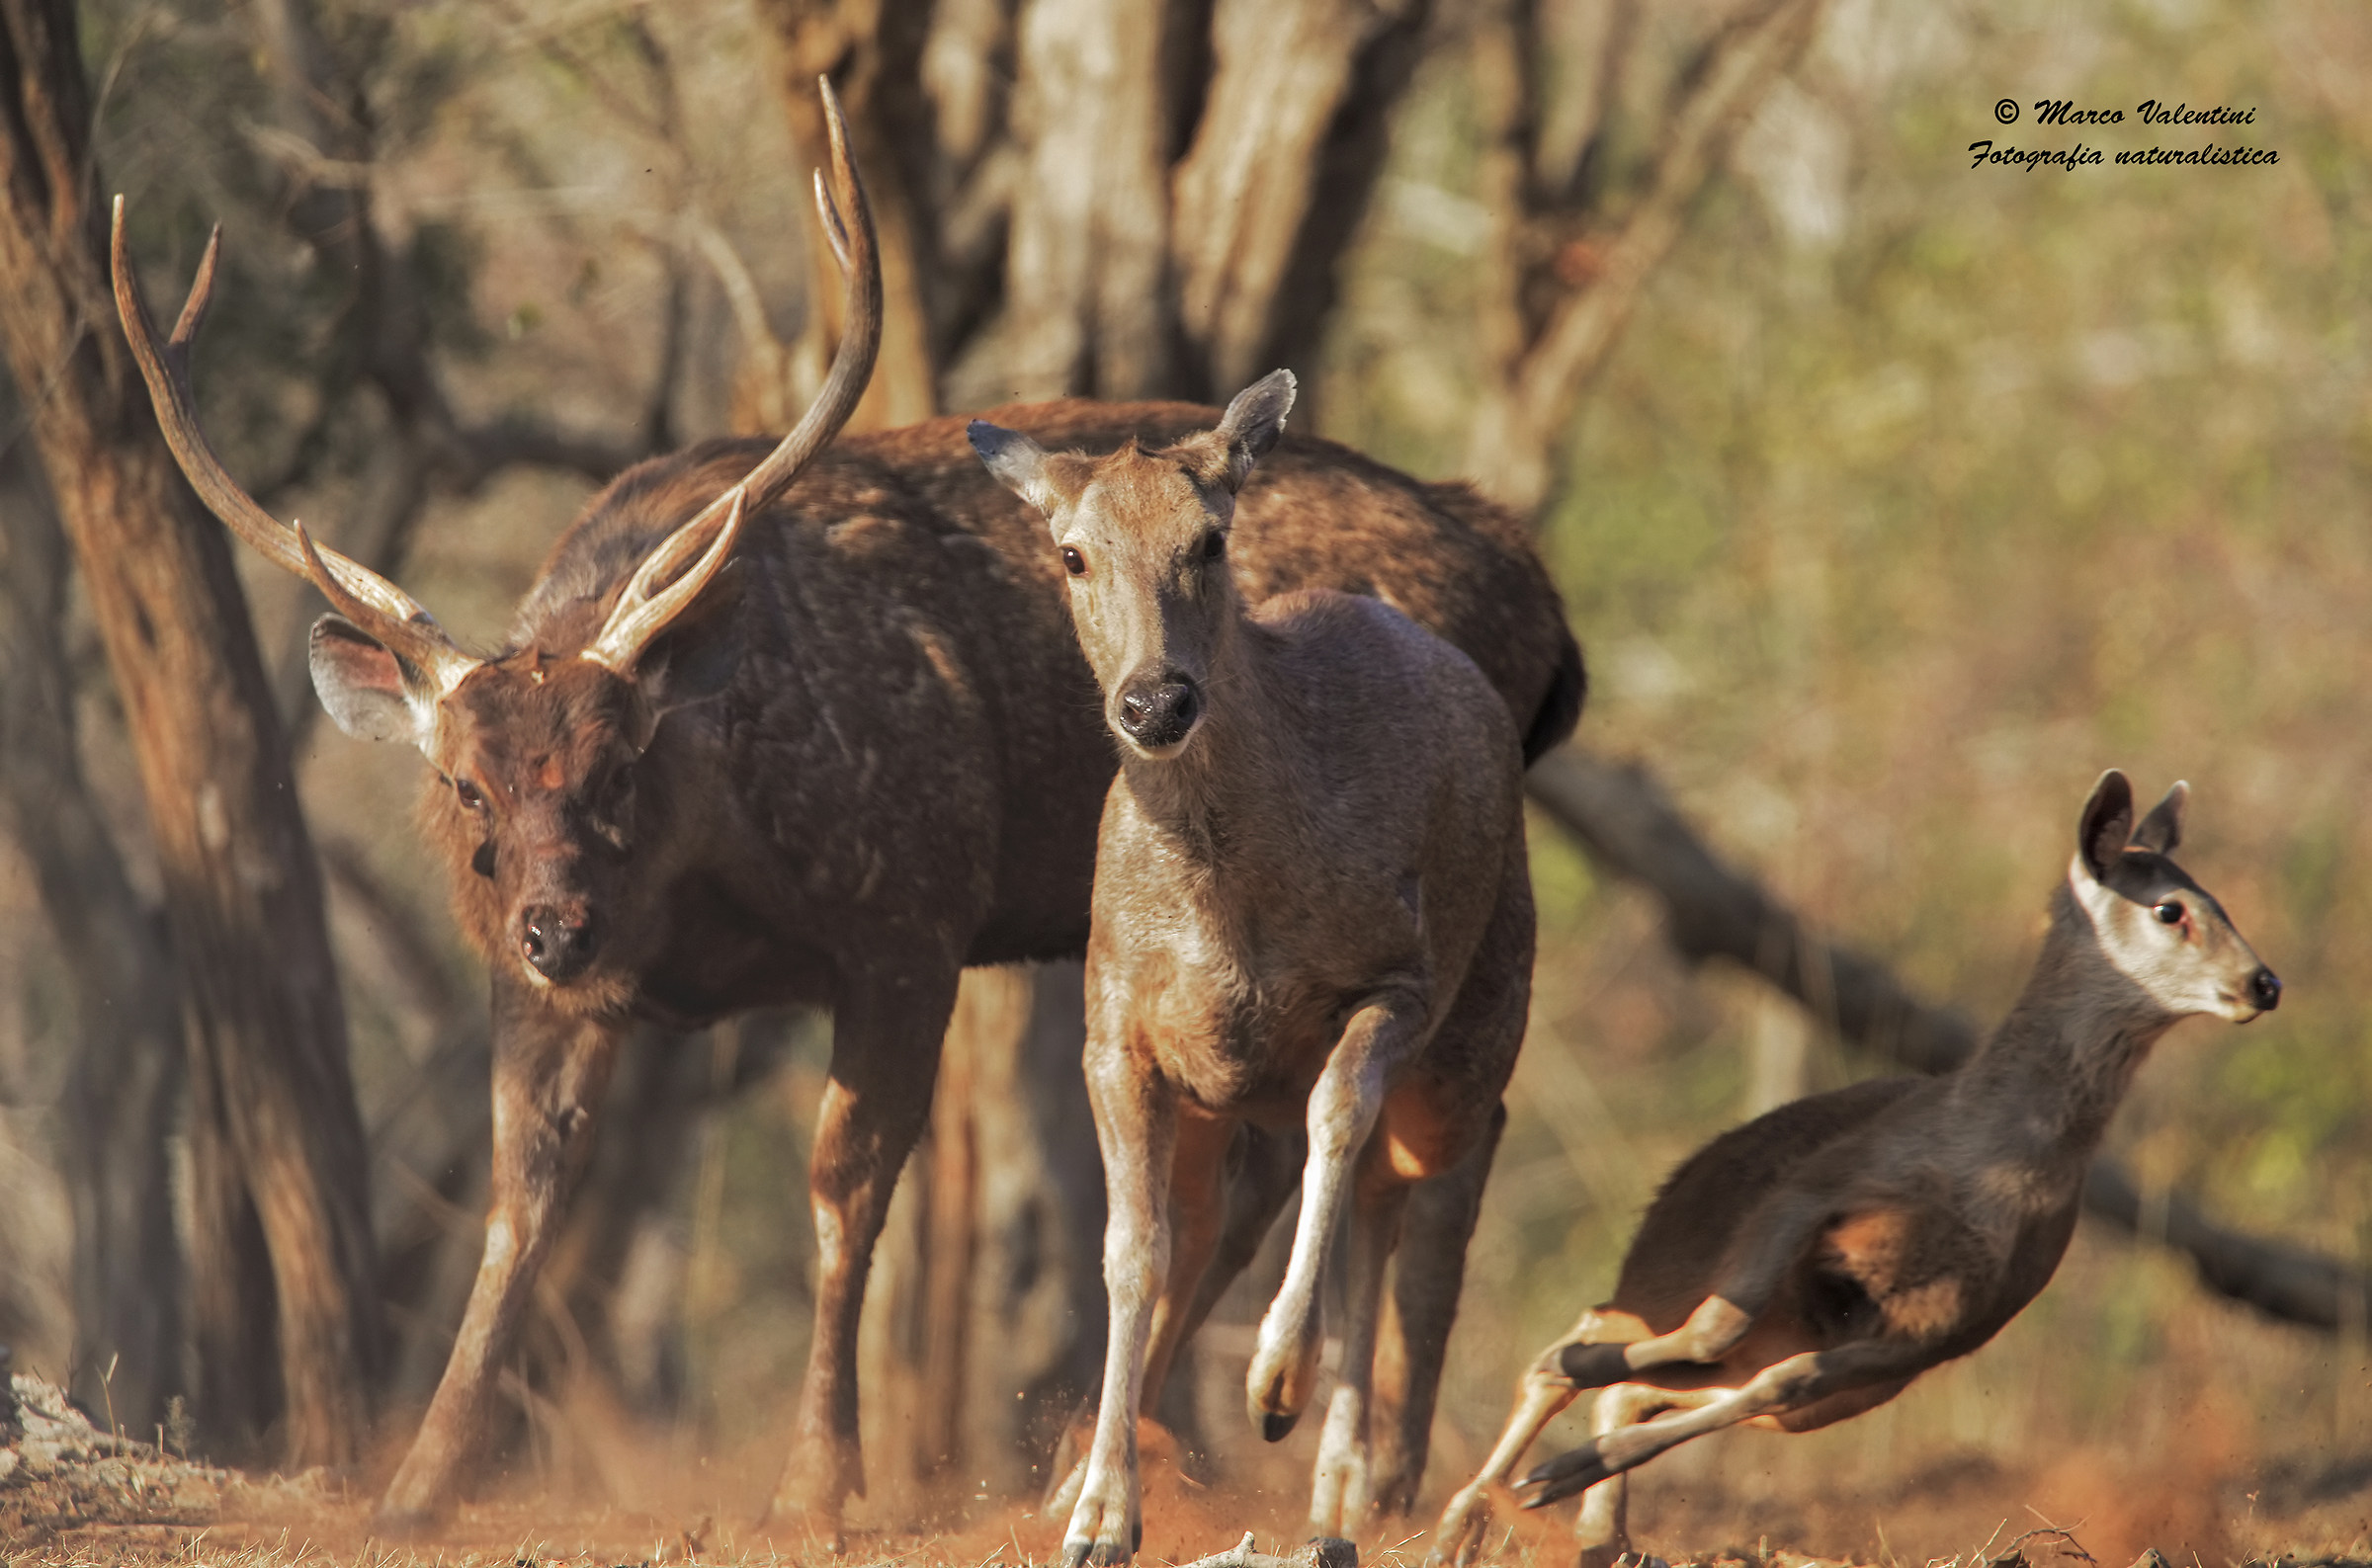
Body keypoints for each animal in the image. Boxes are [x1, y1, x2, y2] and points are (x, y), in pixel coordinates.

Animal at [970, 369, 1537, 1566]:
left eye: (1212, 538)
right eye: (1072, 552)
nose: (1155, 701)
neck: (1232, 910)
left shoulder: (1395, 978)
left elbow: (1337, 1122)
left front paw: (1277, 1379)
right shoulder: (1116, 1033)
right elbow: (1129, 1250)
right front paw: (1098, 1514)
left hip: (1482, 1014)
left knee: (1406, 1188)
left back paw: (1350, 1480)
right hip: (1225, 1099)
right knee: (1265, 1215)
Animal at [1425, 769, 2282, 1568]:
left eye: (2219, 902)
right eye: (2172, 909)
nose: (2264, 981)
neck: (1996, 1169)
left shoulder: (1952, 1322)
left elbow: (1781, 1380)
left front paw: (1564, 1468)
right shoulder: (1820, 1184)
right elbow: (1712, 1322)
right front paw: (1560, 1404)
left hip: (1818, 1375)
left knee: (1675, 1389)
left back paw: (1585, 1522)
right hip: (1669, 1269)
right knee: (1622, 1341)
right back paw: (1474, 1508)